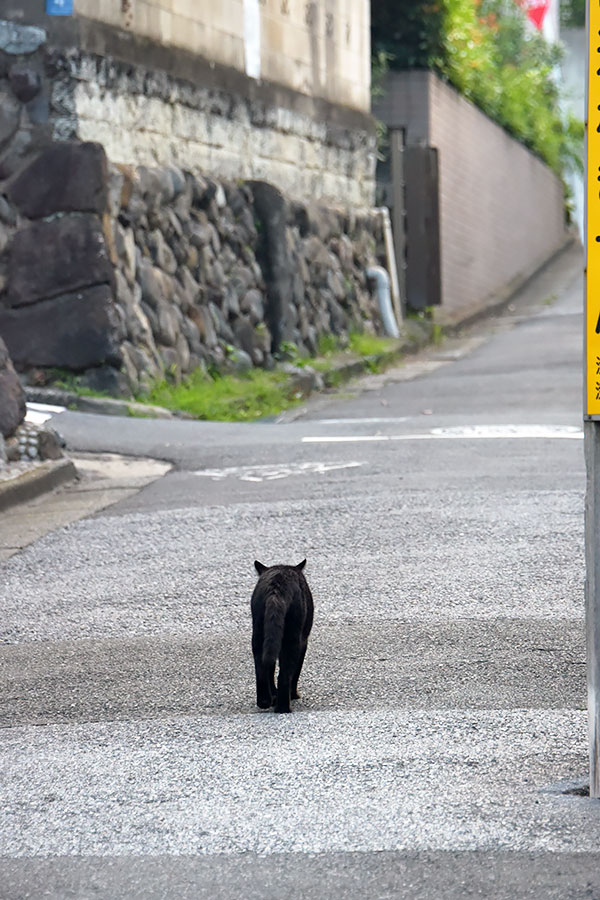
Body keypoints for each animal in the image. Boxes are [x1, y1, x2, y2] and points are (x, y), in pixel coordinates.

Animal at [251, 560, 314, 712]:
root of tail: (276, 589)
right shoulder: (304, 642)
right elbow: (296, 670)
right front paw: (294, 695)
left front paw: (273, 695)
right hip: (293, 638)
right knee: (284, 674)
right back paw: (283, 708)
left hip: (258, 634)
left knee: (262, 668)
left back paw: (265, 702)